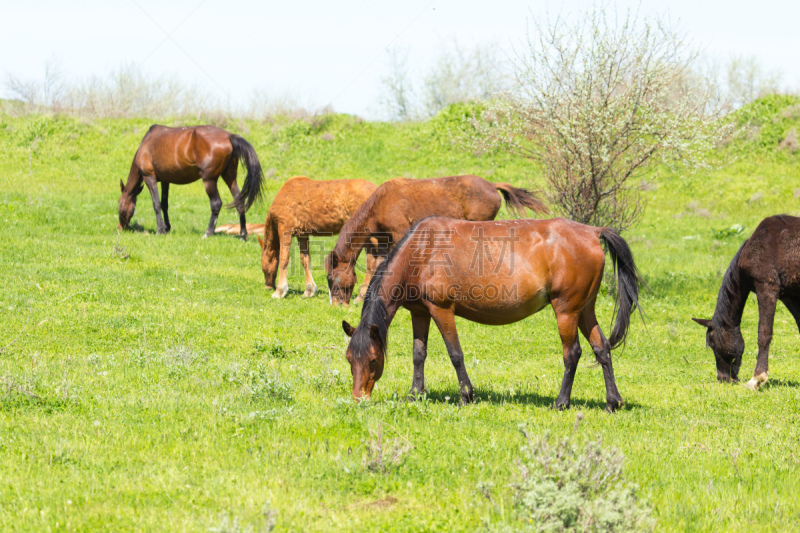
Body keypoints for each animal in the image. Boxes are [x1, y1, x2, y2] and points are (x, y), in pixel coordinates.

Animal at [117, 123, 264, 240]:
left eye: (119, 203)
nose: (120, 227)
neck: (146, 144)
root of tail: (229, 136)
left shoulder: (149, 177)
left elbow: (156, 204)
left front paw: (160, 230)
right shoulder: (165, 181)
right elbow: (164, 204)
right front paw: (167, 228)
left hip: (209, 180)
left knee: (216, 203)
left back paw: (208, 232)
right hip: (230, 177)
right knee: (239, 202)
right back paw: (243, 235)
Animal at [253, 177, 382, 298]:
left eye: (263, 261)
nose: (268, 286)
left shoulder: (285, 228)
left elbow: (284, 259)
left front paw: (280, 291)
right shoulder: (302, 233)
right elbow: (305, 260)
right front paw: (309, 290)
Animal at [322, 175, 548, 306]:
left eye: (333, 278)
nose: (337, 305)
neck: (381, 204)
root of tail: (492, 185)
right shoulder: (383, 242)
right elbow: (375, 265)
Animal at [340, 216, 640, 412]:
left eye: (373, 359)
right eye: (349, 360)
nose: (358, 399)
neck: (422, 251)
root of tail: (592, 231)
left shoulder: (442, 310)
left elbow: (455, 354)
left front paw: (466, 395)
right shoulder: (420, 313)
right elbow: (418, 354)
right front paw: (415, 395)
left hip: (566, 310)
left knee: (572, 353)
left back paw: (561, 402)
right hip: (585, 309)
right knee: (602, 349)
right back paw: (613, 402)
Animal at [692, 214, 800, 388]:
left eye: (713, 344)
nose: (723, 378)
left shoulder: (767, 288)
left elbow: (764, 333)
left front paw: (757, 379)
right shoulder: (789, 295)